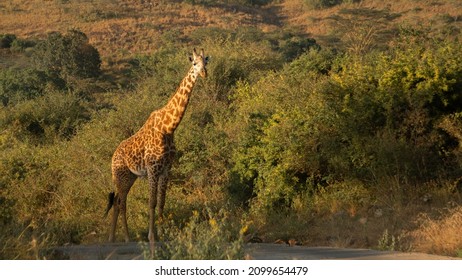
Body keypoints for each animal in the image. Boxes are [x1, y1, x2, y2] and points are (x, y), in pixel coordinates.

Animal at [105, 48, 208, 249]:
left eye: (206, 62)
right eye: (194, 63)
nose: (204, 74)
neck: (168, 128)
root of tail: (113, 156)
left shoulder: (166, 169)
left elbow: (161, 202)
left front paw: (163, 234)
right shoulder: (153, 169)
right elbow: (152, 203)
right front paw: (152, 236)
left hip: (130, 177)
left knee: (121, 202)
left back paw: (125, 238)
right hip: (120, 176)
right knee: (119, 203)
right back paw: (114, 239)